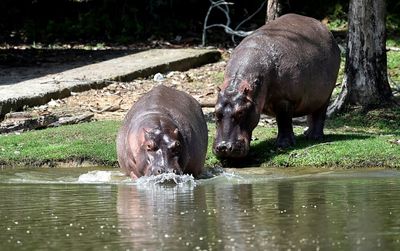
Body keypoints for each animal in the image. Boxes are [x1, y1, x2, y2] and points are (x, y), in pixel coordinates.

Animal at [212, 13, 340, 159]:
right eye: (215, 112)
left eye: (241, 112)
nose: (224, 147)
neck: (238, 82)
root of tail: (326, 30)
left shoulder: (284, 99)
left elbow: (283, 120)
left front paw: (283, 145)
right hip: (313, 96)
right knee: (311, 111)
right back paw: (307, 134)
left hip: (327, 93)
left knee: (320, 113)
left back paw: (315, 137)